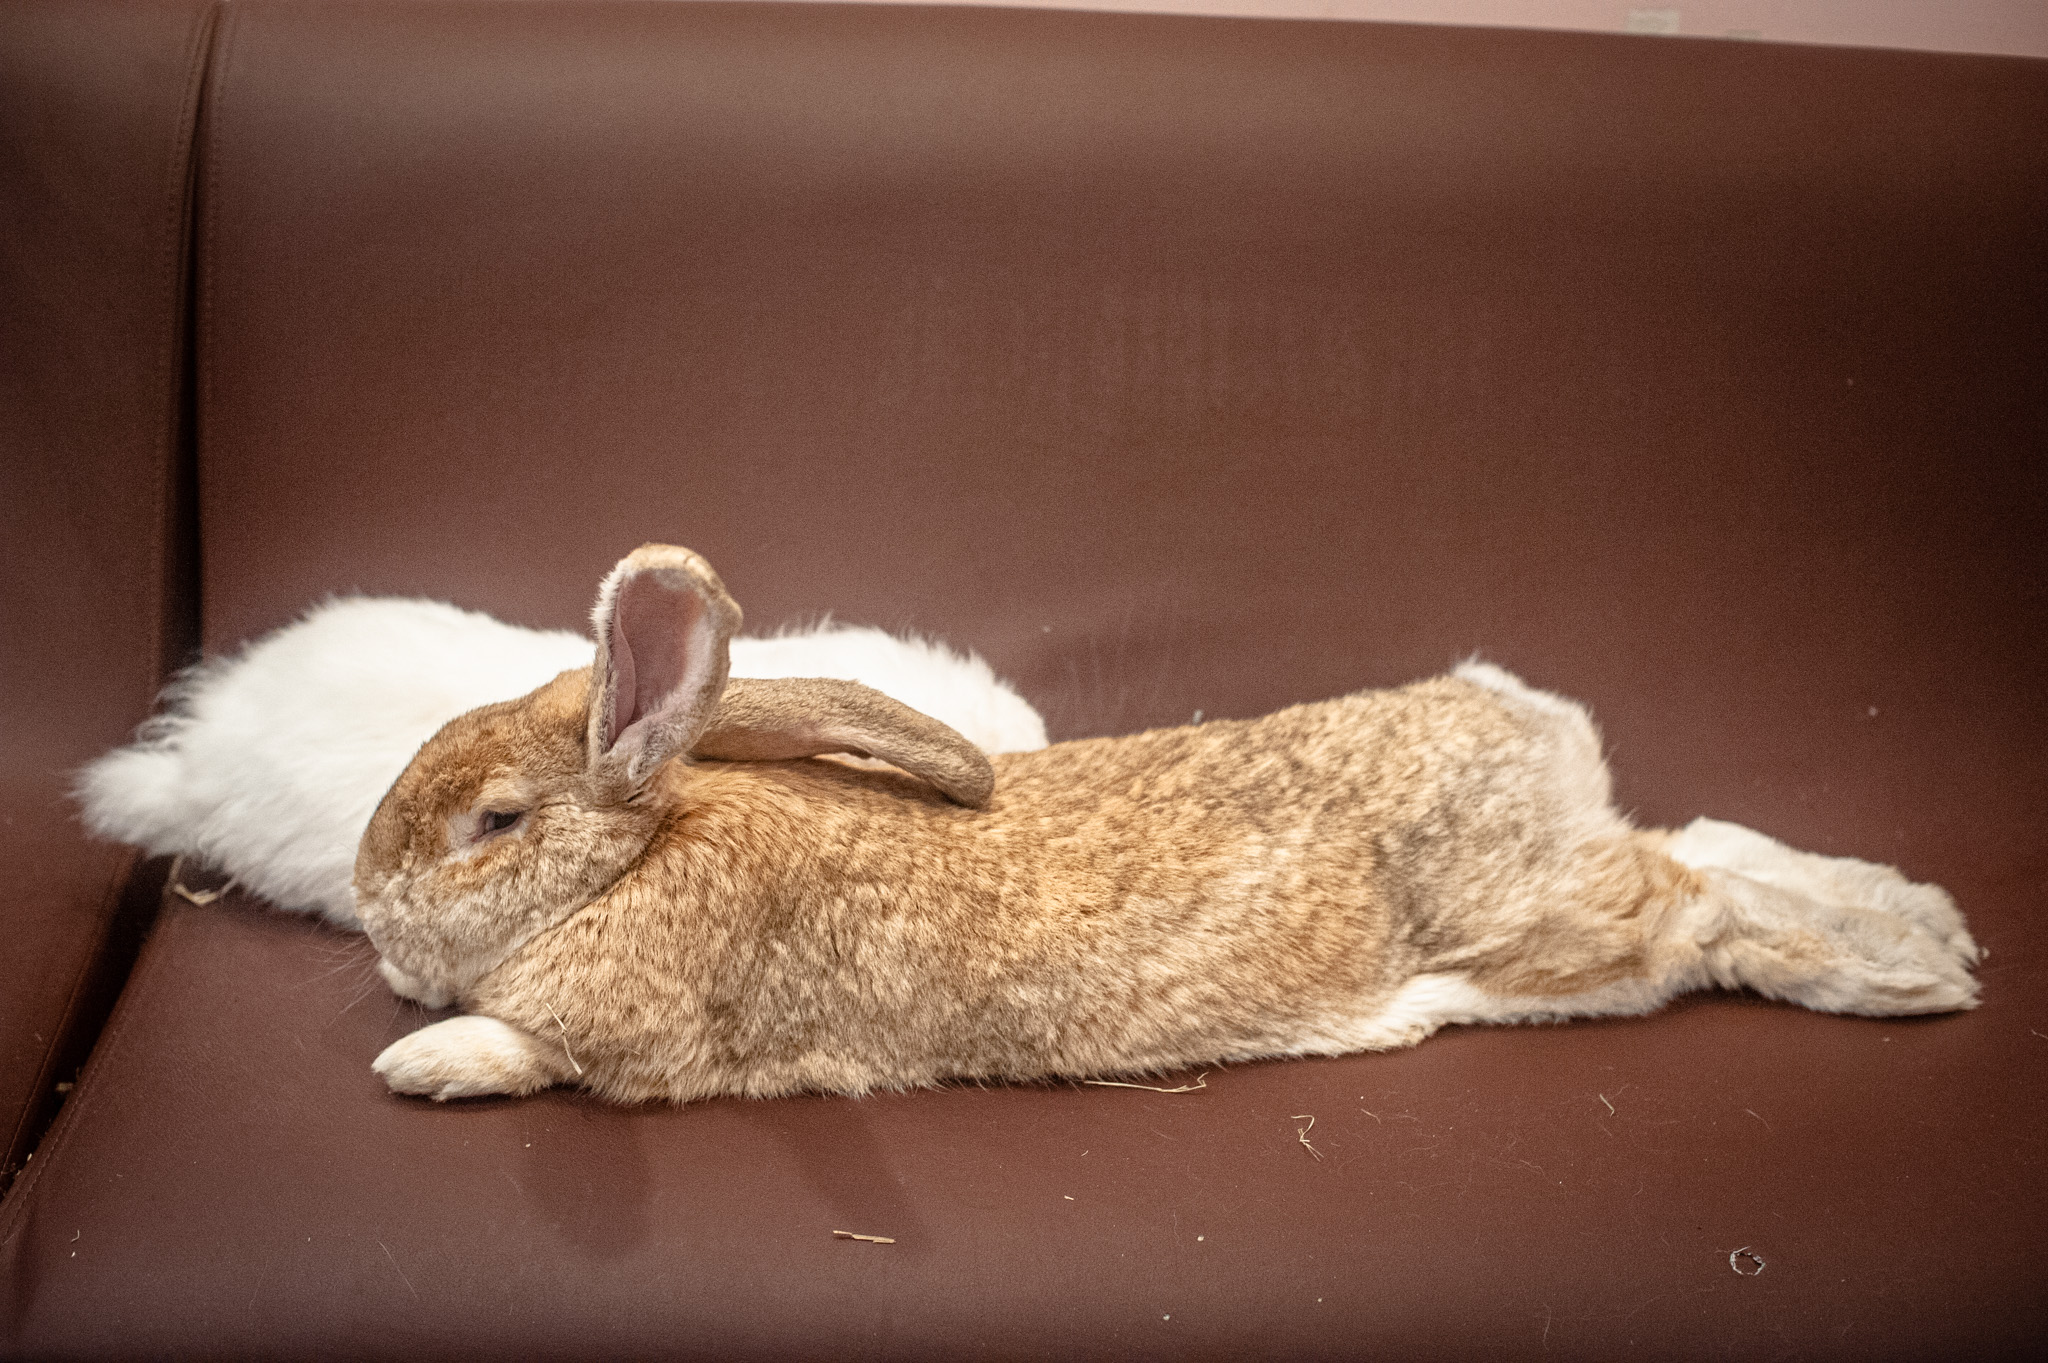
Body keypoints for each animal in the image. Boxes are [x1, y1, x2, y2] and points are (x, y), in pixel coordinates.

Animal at [356, 540, 1982, 1096]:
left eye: (490, 823)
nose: (367, 899)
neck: (633, 855)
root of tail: (1529, 728)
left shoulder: (639, 1039)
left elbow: (536, 1050)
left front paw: (420, 1060)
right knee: (1705, 846)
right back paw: (1929, 920)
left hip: (1546, 924)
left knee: (1704, 903)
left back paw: (1909, 973)